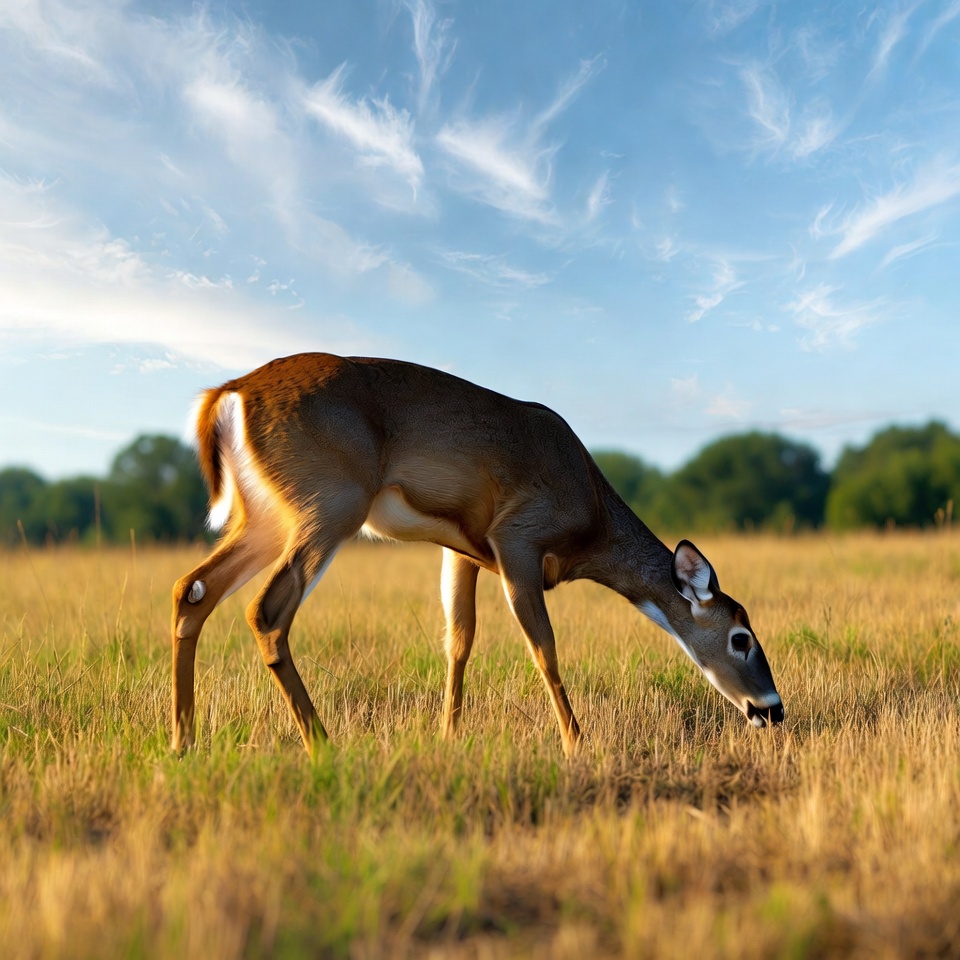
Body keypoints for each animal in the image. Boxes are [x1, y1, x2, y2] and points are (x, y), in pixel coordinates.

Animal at [171, 353, 784, 758]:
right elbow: (543, 646)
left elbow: (458, 641)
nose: (773, 709)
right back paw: (321, 743)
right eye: (741, 637)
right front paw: (576, 742)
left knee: (192, 590)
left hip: (267, 518)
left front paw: (449, 734)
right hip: (329, 505)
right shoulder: (517, 537)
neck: (589, 508)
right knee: (266, 611)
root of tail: (230, 392)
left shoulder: (463, 552)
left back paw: (184, 740)